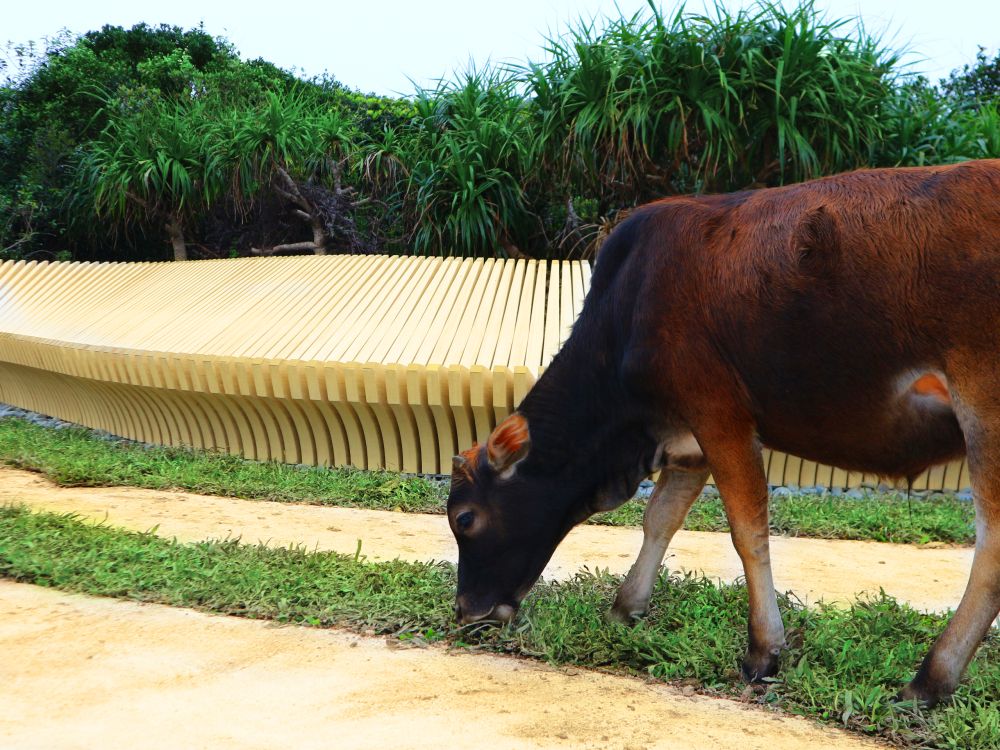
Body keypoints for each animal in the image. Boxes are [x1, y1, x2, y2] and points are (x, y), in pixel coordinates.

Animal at [446, 159, 1000, 706]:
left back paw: (930, 680)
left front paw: (764, 651)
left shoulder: (719, 414)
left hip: (983, 410)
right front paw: (626, 607)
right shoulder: (689, 442)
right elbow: (660, 519)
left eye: (465, 519)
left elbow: (747, 530)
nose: (466, 610)